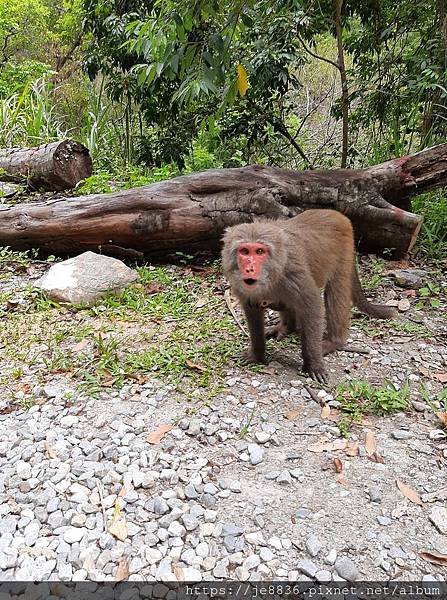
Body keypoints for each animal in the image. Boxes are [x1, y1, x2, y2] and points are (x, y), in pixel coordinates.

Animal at [221, 209, 396, 382]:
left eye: (259, 252)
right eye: (244, 251)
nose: (249, 268)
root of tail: (335, 213)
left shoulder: (293, 271)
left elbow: (312, 306)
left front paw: (314, 364)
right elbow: (252, 310)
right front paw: (256, 355)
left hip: (344, 249)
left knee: (335, 291)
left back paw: (334, 341)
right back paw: (287, 327)